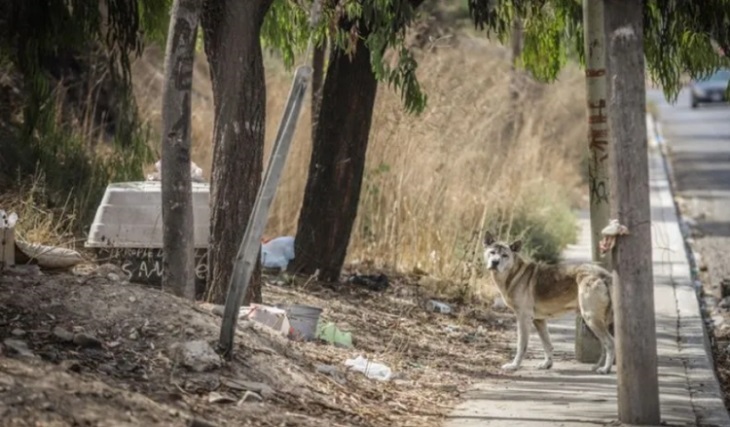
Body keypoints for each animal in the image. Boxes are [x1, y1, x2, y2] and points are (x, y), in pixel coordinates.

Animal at [484, 232, 616, 376]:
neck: (514, 274)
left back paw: (606, 369)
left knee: (610, 343)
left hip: (590, 317)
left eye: (505, 255)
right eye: (492, 252)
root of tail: (603, 274)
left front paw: (514, 365)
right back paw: (597, 366)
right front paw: (547, 364)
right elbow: (547, 343)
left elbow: (521, 345)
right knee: (604, 345)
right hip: (595, 320)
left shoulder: (523, 318)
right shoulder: (539, 320)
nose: (494, 262)